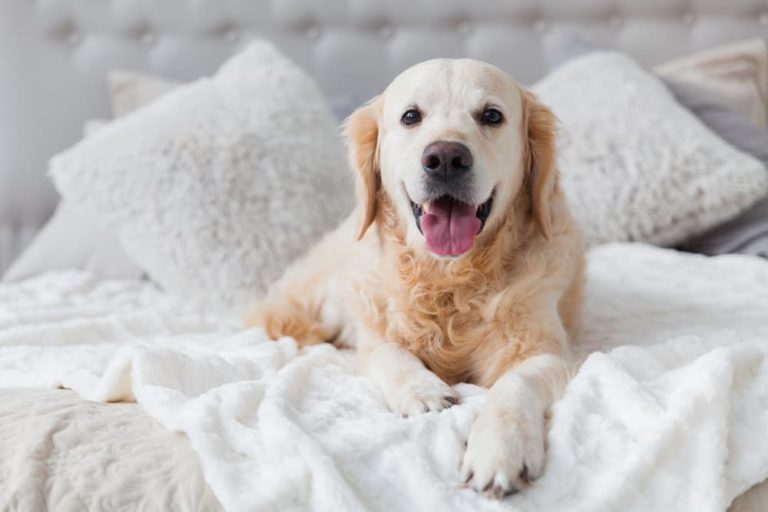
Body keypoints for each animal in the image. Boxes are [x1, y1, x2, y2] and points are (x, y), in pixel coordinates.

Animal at [246, 58, 584, 498]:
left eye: (492, 116)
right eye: (411, 116)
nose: (446, 157)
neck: (449, 279)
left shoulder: (548, 351)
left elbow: (516, 384)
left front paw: (500, 449)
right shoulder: (373, 338)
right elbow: (389, 353)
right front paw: (422, 392)